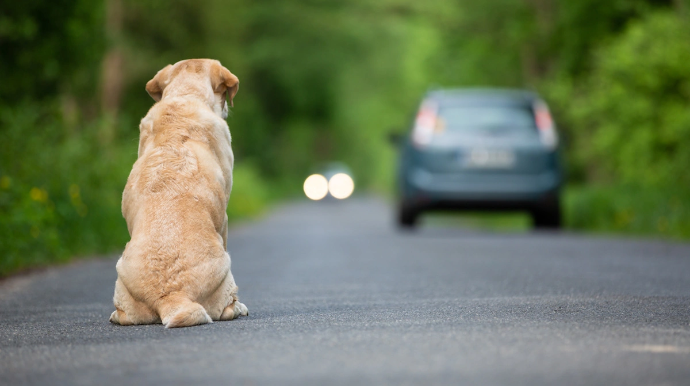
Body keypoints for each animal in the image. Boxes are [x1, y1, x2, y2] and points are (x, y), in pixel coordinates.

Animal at [107, 58, 247, 328]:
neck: (185, 95)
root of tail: (172, 295)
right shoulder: (224, 218)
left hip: (121, 279)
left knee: (123, 315)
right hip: (226, 270)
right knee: (227, 307)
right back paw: (238, 308)